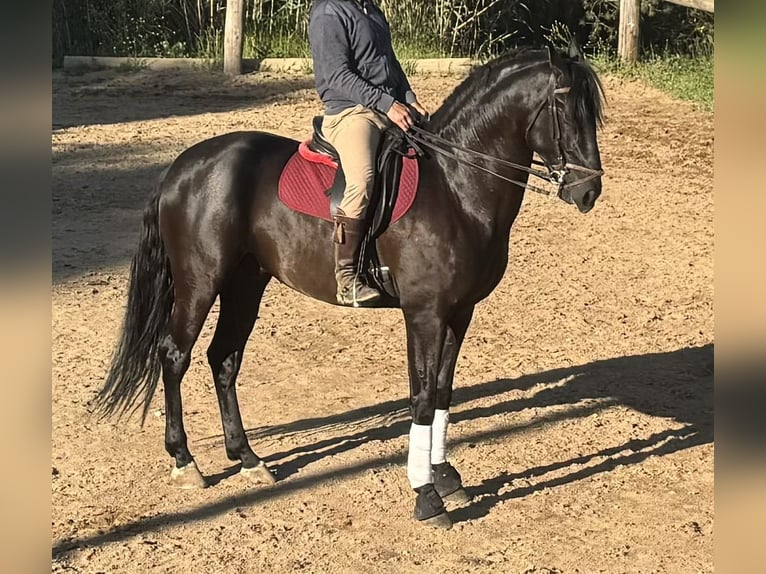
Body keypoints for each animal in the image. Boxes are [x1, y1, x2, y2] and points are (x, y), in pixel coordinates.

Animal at [94, 45, 608, 532]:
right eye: (564, 106)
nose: (588, 193)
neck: (457, 186)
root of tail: (183, 166)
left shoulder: (460, 312)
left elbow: (444, 392)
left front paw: (446, 477)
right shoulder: (424, 313)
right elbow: (422, 396)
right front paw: (426, 496)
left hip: (246, 282)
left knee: (223, 358)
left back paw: (248, 459)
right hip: (201, 281)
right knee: (174, 355)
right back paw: (185, 462)